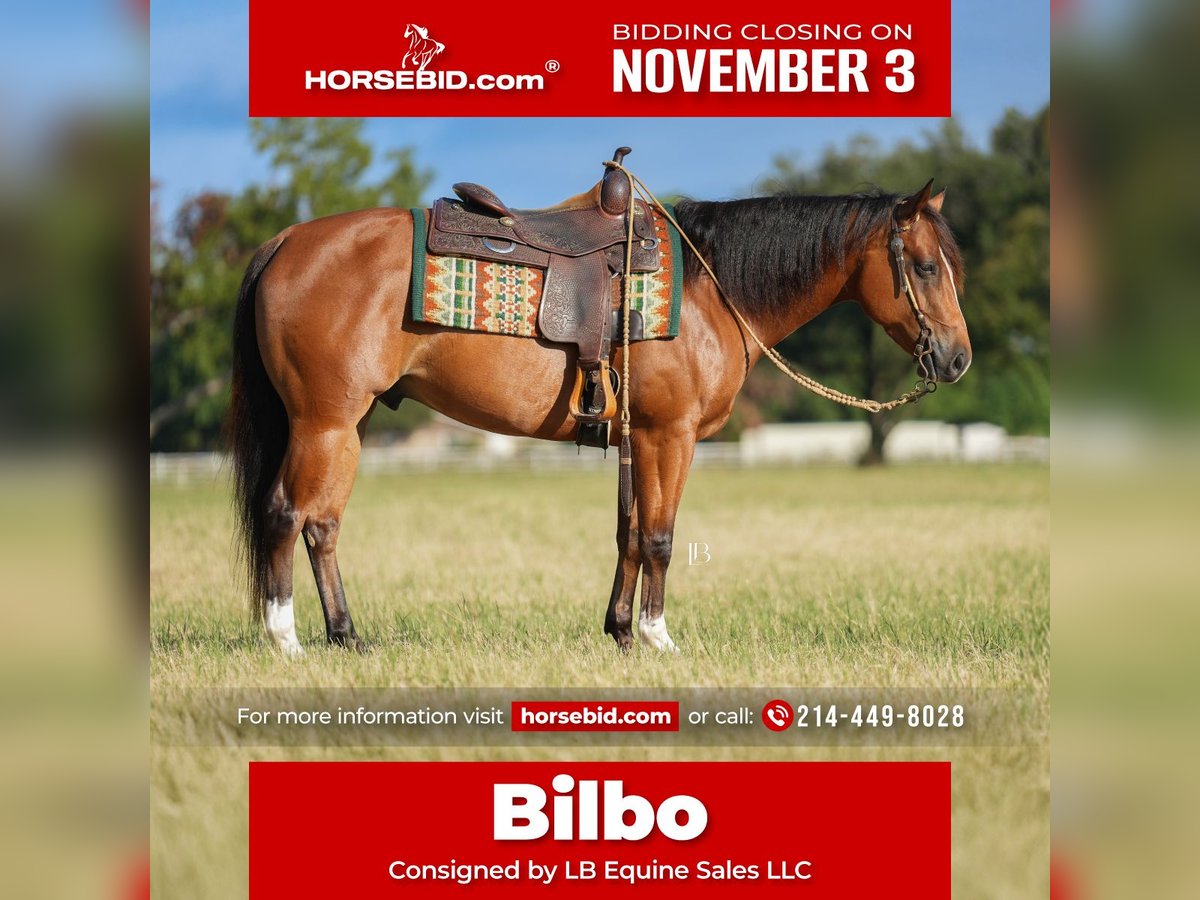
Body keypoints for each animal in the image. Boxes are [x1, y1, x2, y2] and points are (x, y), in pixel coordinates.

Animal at [229, 178, 970, 657]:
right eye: (925, 267)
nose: (958, 359)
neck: (710, 290)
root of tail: (286, 241)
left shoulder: (636, 440)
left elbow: (629, 535)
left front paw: (619, 631)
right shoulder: (670, 436)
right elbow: (660, 537)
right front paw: (657, 637)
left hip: (346, 427)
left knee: (322, 525)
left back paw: (346, 636)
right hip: (324, 423)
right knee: (287, 514)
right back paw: (286, 638)